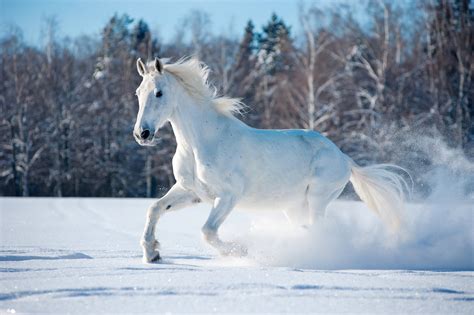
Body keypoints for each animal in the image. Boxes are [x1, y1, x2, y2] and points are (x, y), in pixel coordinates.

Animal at [132, 57, 408, 264]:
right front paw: (152, 253)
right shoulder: (192, 192)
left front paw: (241, 251)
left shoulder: (228, 196)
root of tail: (344, 158)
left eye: (159, 93)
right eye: (138, 93)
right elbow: (154, 209)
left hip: (318, 199)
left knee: (319, 229)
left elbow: (208, 232)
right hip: (293, 207)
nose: (142, 134)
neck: (201, 143)